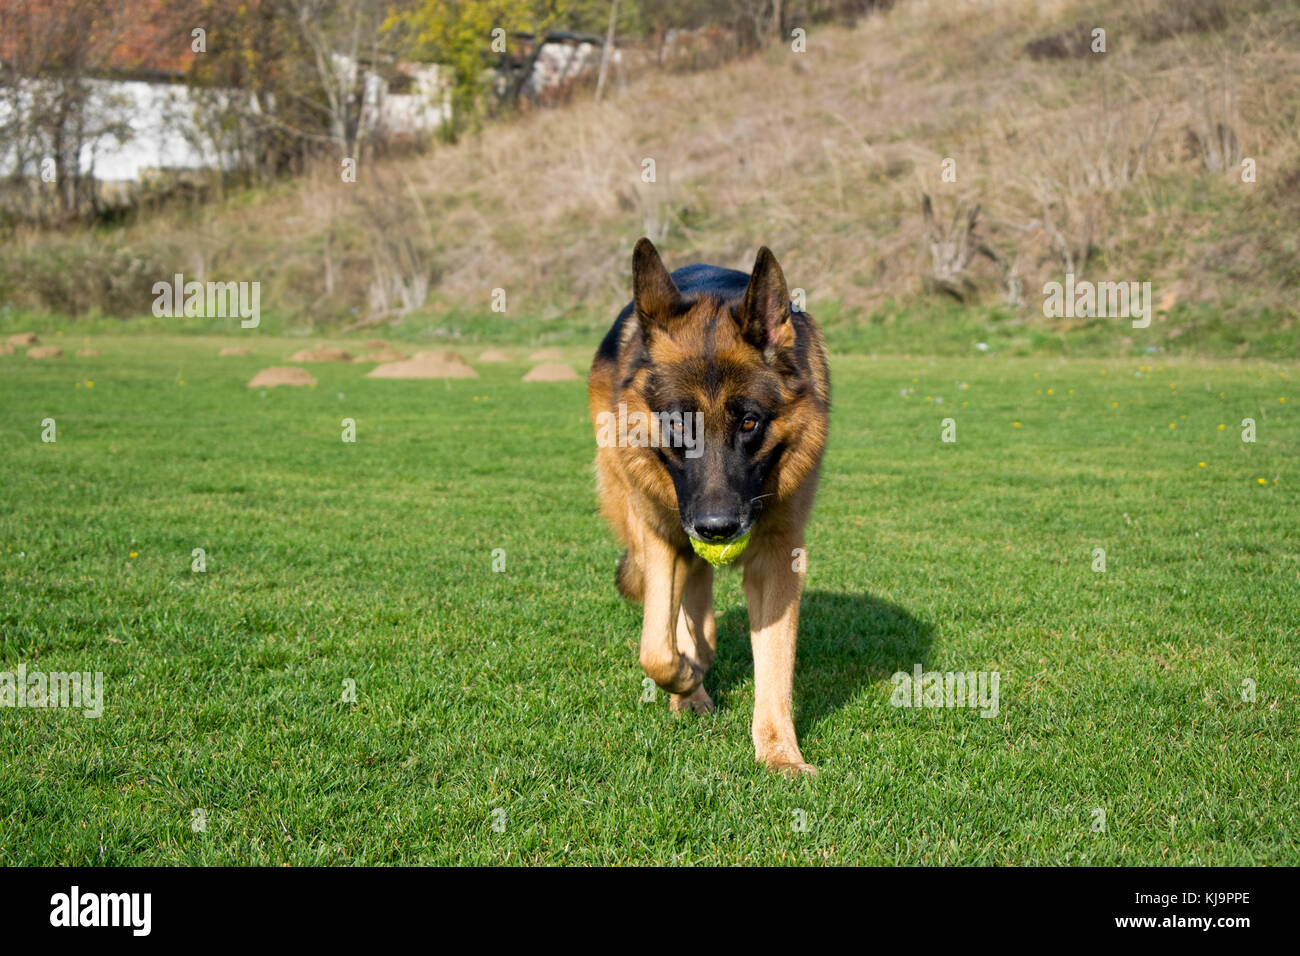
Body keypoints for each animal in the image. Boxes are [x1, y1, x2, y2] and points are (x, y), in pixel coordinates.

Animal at [587, 239, 826, 780]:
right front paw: (684, 677)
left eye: (749, 423)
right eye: (679, 424)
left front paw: (780, 753)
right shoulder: (663, 536)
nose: (718, 528)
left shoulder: (779, 558)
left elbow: (775, 666)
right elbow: (656, 651)